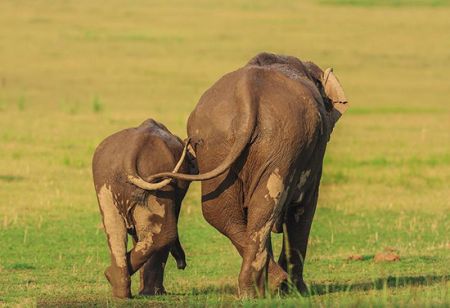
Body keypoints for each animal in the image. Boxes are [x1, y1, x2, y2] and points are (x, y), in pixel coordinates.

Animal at [93, 118, 193, 298]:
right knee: (165, 233)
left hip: (104, 180)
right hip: (157, 182)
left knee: (115, 229)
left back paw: (118, 289)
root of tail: (133, 149)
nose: (182, 265)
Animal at [143, 51, 348, 298]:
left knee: (220, 212)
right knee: (266, 205)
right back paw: (269, 285)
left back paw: (256, 289)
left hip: (216, 145)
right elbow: (303, 207)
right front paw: (299, 292)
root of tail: (247, 96)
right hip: (279, 143)